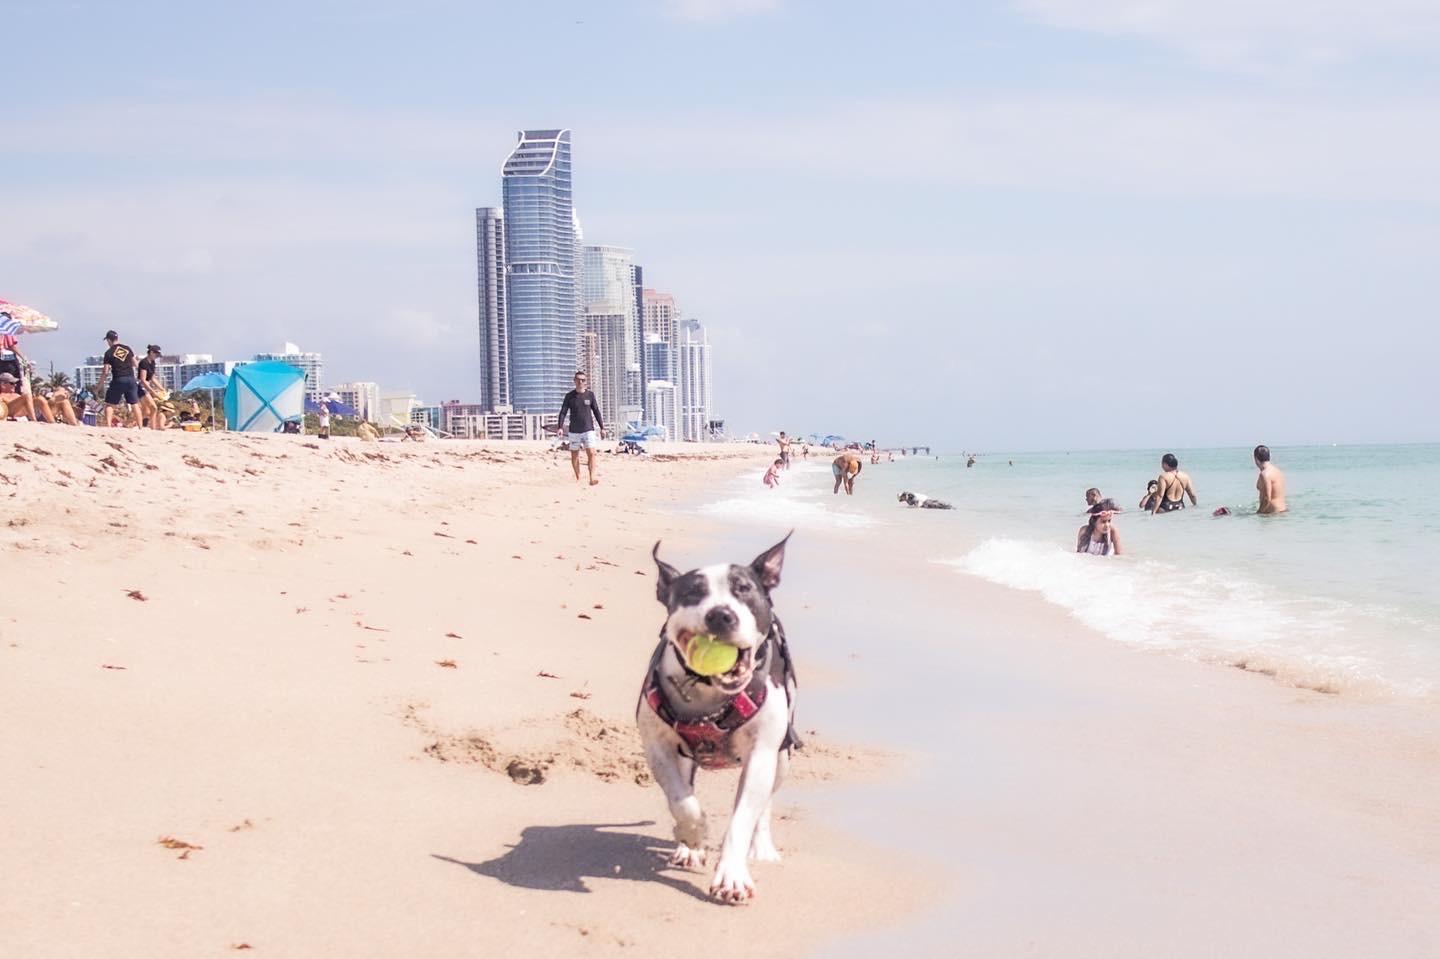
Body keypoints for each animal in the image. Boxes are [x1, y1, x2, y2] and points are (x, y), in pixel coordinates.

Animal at [639, 532, 800, 898]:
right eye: (692, 593)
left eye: (744, 588)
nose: (721, 615)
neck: (710, 692)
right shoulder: (657, 745)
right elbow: (681, 798)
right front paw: (694, 835)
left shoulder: (762, 753)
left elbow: (743, 817)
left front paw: (732, 876)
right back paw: (687, 847)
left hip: (782, 755)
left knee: (766, 804)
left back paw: (762, 847)